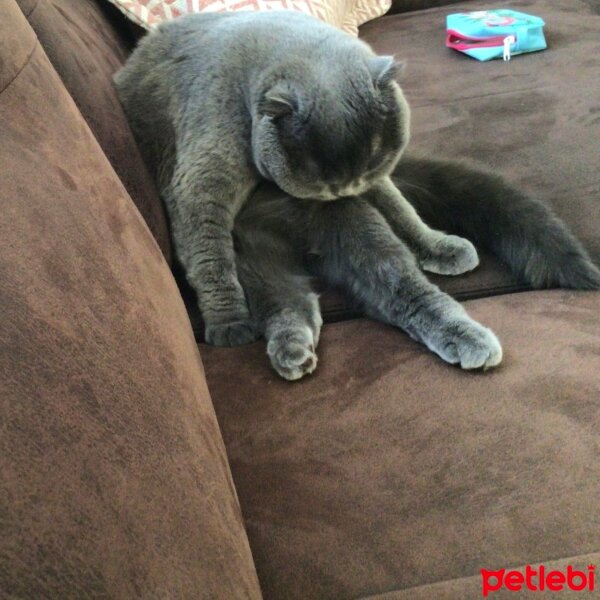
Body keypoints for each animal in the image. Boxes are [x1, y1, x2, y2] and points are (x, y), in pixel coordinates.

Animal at [113, 9, 478, 344]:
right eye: (316, 173)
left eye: (372, 159)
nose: (344, 190)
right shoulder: (200, 179)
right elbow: (208, 253)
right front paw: (228, 321)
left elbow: (399, 208)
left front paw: (439, 247)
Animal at [237, 157, 596, 378]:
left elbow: (398, 206)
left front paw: (434, 246)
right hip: (257, 255)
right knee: (288, 301)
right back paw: (292, 347)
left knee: (391, 281)